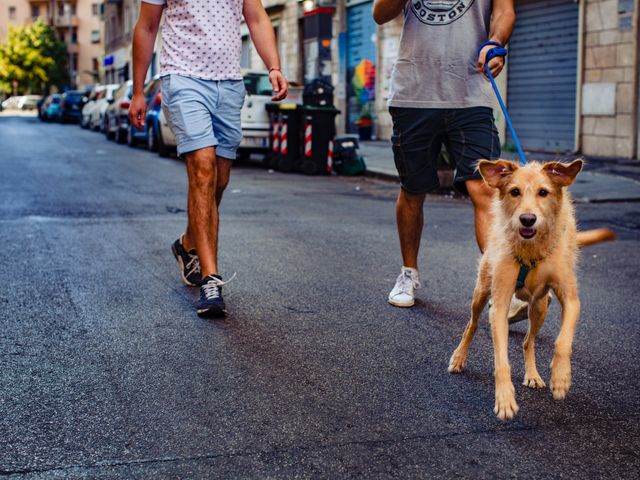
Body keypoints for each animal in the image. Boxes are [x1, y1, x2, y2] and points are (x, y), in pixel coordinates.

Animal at [448, 158, 616, 420]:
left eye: (543, 192)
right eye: (515, 192)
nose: (527, 219)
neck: (532, 248)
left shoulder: (571, 299)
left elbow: (563, 341)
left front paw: (560, 377)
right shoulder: (500, 303)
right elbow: (501, 359)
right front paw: (505, 398)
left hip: (540, 308)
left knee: (528, 341)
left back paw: (533, 374)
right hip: (482, 291)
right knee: (472, 324)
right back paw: (458, 357)